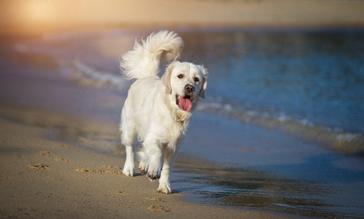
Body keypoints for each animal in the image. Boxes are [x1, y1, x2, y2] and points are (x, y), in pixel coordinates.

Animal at [120, 30, 208, 193]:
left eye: (196, 79)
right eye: (180, 76)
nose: (189, 88)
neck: (174, 113)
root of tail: (146, 76)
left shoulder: (174, 147)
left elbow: (166, 167)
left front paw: (164, 185)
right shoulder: (154, 136)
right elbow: (156, 152)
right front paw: (154, 170)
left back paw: (144, 165)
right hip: (130, 127)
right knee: (129, 147)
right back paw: (129, 168)